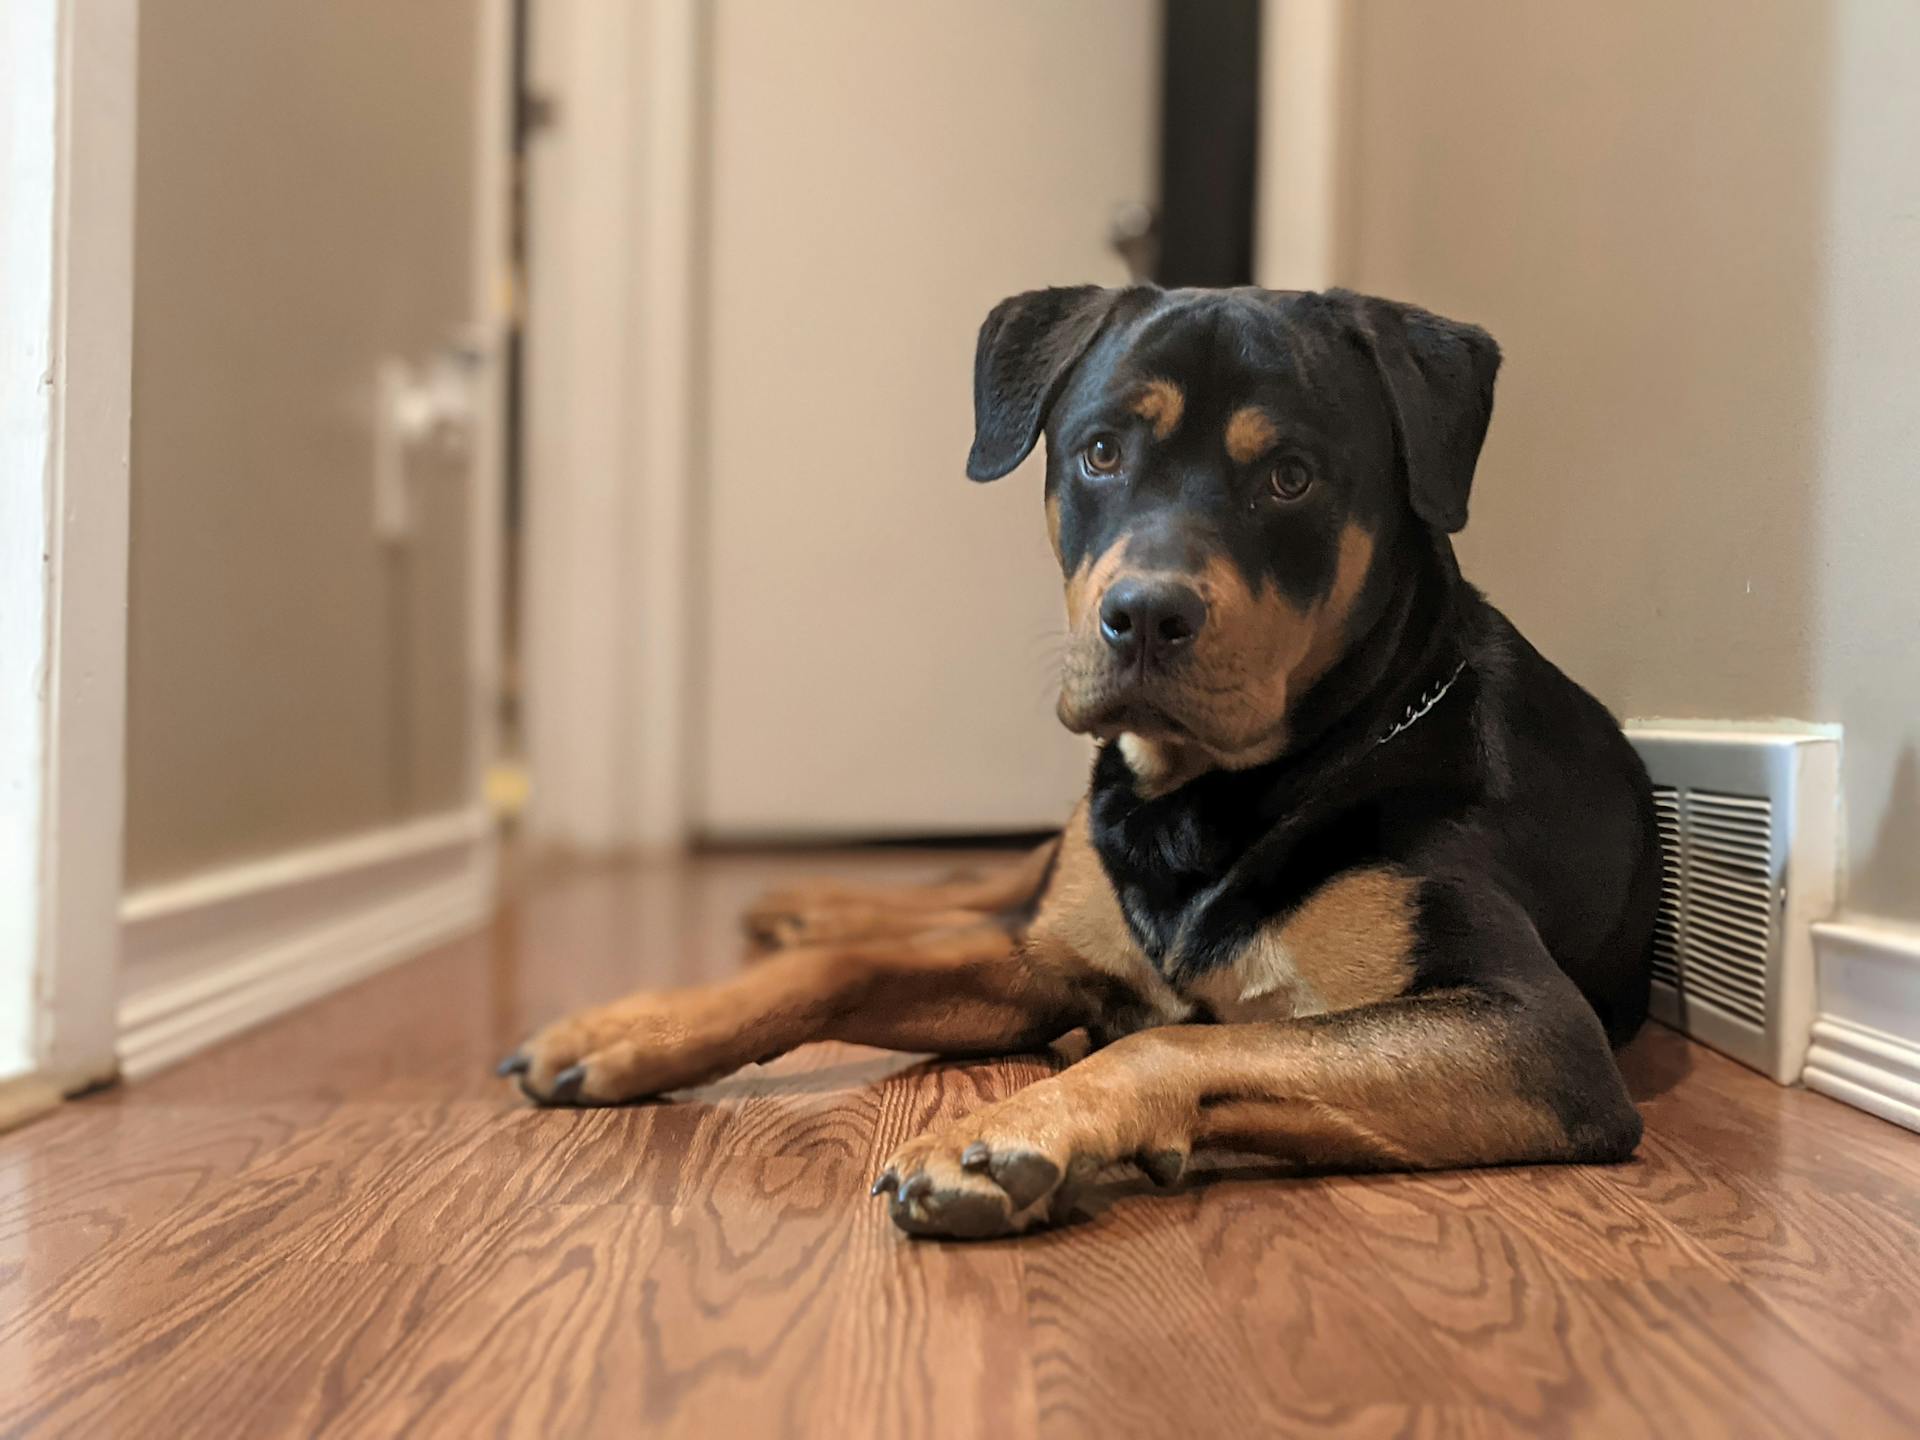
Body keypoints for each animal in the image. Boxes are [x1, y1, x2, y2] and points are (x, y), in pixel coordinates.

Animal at [495, 284, 1651, 1244]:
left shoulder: (1532, 1034)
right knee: (975, 886)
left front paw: (1004, 1139)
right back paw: (802, 904)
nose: (1143, 615)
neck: (1205, 799)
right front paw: (630, 1028)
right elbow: (849, 969)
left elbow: (1176, 1043)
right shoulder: (1058, 959)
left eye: (1290, 478)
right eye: (1100, 452)